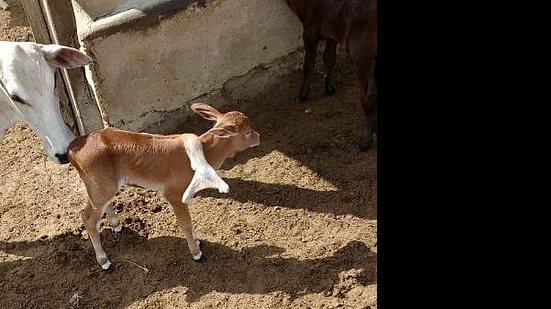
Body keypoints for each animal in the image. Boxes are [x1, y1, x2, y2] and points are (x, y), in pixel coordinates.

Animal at [67, 102, 260, 268]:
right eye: (247, 132)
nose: (259, 136)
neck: (204, 152)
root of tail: (73, 148)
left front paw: (197, 241)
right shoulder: (174, 194)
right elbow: (186, 223)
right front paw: (196, 252)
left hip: (106, 186)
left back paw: (117, 225)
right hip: (99, 186)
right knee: (87, 217)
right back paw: (104, 261)